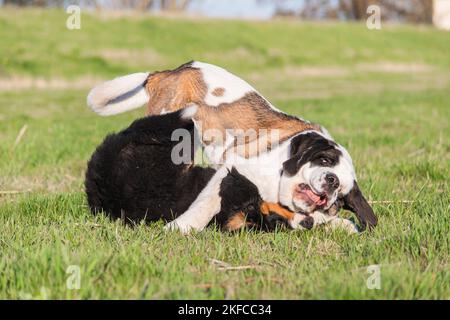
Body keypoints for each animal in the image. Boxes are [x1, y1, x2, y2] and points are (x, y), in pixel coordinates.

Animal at [87, 61, 376, 234]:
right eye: (326, 161)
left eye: (342, 192)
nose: (332, 180)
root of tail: (170, 72)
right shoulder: (232, 169)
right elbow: (204, 205)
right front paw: (180, 227)